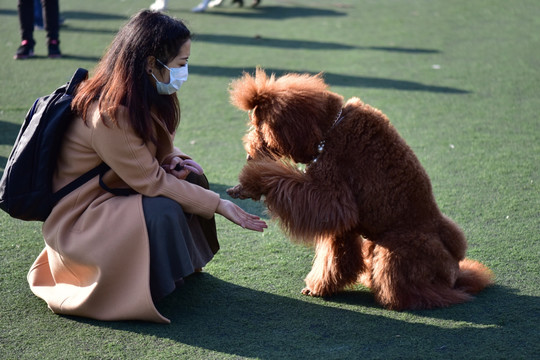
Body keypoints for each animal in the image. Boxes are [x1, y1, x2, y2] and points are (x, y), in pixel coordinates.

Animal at [228, 68, 494, 310]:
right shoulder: (342, 221)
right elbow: (335, 256)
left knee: (423, 290)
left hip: (396, 249)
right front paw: (322, 286)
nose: (249, 154)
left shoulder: (332, 196)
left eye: (259, 126)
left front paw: (252, 182)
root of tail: (455, 273)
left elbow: (284, 182)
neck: (331, 128)